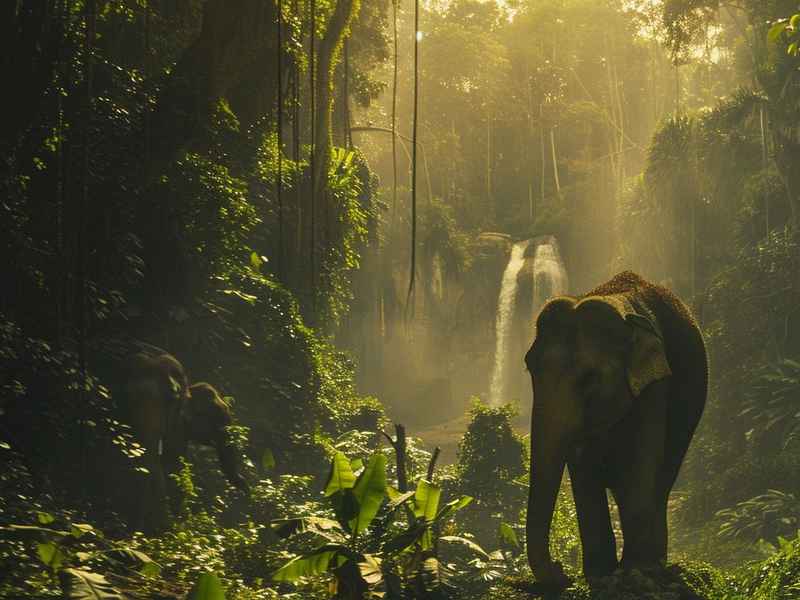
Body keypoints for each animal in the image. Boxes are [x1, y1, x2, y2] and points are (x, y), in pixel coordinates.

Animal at [524, 271, 707, 587]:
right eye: (529, 369)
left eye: (589, 379)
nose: (560, 571)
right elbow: (584, 468)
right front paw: (600, 575)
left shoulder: (655, 384)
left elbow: (643, 460)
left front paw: (635, 572)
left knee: (660, 481)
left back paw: (655, 565)